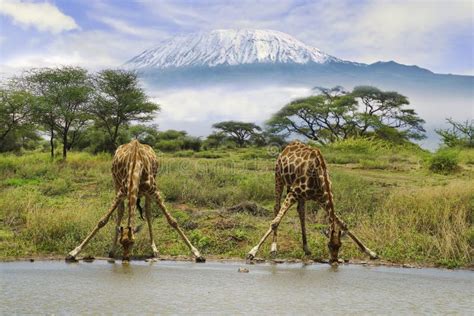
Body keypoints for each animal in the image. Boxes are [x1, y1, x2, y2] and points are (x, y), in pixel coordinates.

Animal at [66, 140, 206, 262]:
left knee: (148, 213)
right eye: (122, 242)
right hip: (115, 183)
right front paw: (73, 253)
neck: (136, 166)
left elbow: (172, 221)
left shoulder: (154, 191)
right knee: (121, 211)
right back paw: (112, 250)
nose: (126, 258)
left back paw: (154, 250)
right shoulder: (122, 192)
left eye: (133, 242)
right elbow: (102, 221)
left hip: (149, 190)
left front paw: (197, 254)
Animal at [248, 141, 378, 264]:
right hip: (279, 178)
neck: (320, 178)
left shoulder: (321, 199)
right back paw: (273, 248)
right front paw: (252, 252)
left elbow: (343, 224)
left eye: (339, 246)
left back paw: (306, 248)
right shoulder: (294, 193)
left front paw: (371, 252)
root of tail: (287, 147)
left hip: (299, 193)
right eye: (329, 245)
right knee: (276, 207)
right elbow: (275, 222)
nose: (334, 260)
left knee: (301, 212)